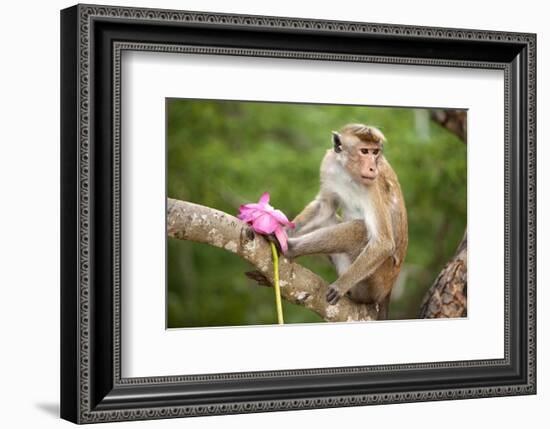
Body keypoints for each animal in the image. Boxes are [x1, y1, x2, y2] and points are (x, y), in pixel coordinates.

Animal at [284, 123, 410, 318]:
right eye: (364, 151)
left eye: (375, 152)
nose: (372, 168)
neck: (348, 172)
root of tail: (388, 290)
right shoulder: (329, 164)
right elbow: (325, 207)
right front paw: (283, 228)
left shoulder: (373, 185)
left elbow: (383, 243)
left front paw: (340, 285)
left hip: (375, 281)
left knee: (360, 229)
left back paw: (291, 249)